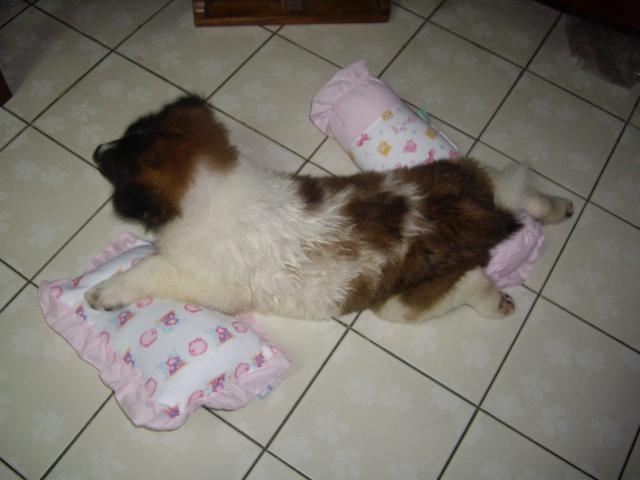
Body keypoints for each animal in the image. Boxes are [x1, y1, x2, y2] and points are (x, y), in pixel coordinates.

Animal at [86, 95, 573, 322]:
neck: (218, 189)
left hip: (405, 300)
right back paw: (557, 206)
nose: (95, 150)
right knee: (513, 184)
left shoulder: (211, 284)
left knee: (472, 285)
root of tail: (465, 215)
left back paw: (497, 302)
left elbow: (151, 269)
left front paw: (106, 291)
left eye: (119, 160)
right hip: (457, 174)